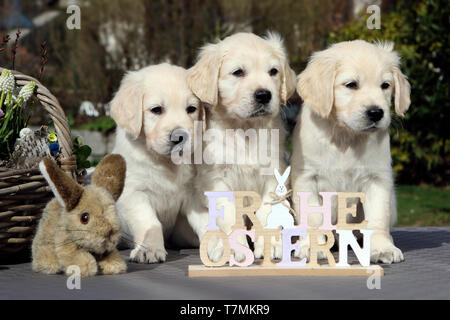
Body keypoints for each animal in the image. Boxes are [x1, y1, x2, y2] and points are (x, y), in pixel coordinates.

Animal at [110, 62, 201, 262]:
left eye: (191, 109)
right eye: (156, 110)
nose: (179, 137)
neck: (165, 162)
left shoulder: (193, 193)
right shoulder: (134, 193)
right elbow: (150, 222)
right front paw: (149, 249)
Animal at [185, 31, 298, 260]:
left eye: (273, 71)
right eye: (238, 72)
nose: (264, 95)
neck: (245, 129)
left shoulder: (273, 172)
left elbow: (266, 211)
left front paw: (270, 244)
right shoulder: (216, 180)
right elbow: (230, 217)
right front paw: (238, 248)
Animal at [292, 40, 412, 264]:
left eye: (385, 85)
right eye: (351, 85)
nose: (376, 113)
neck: (345, 136)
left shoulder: (377, 178)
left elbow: (377, 217)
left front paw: (382, 248)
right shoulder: (306, 178)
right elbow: (313, 217)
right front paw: (314, 246)